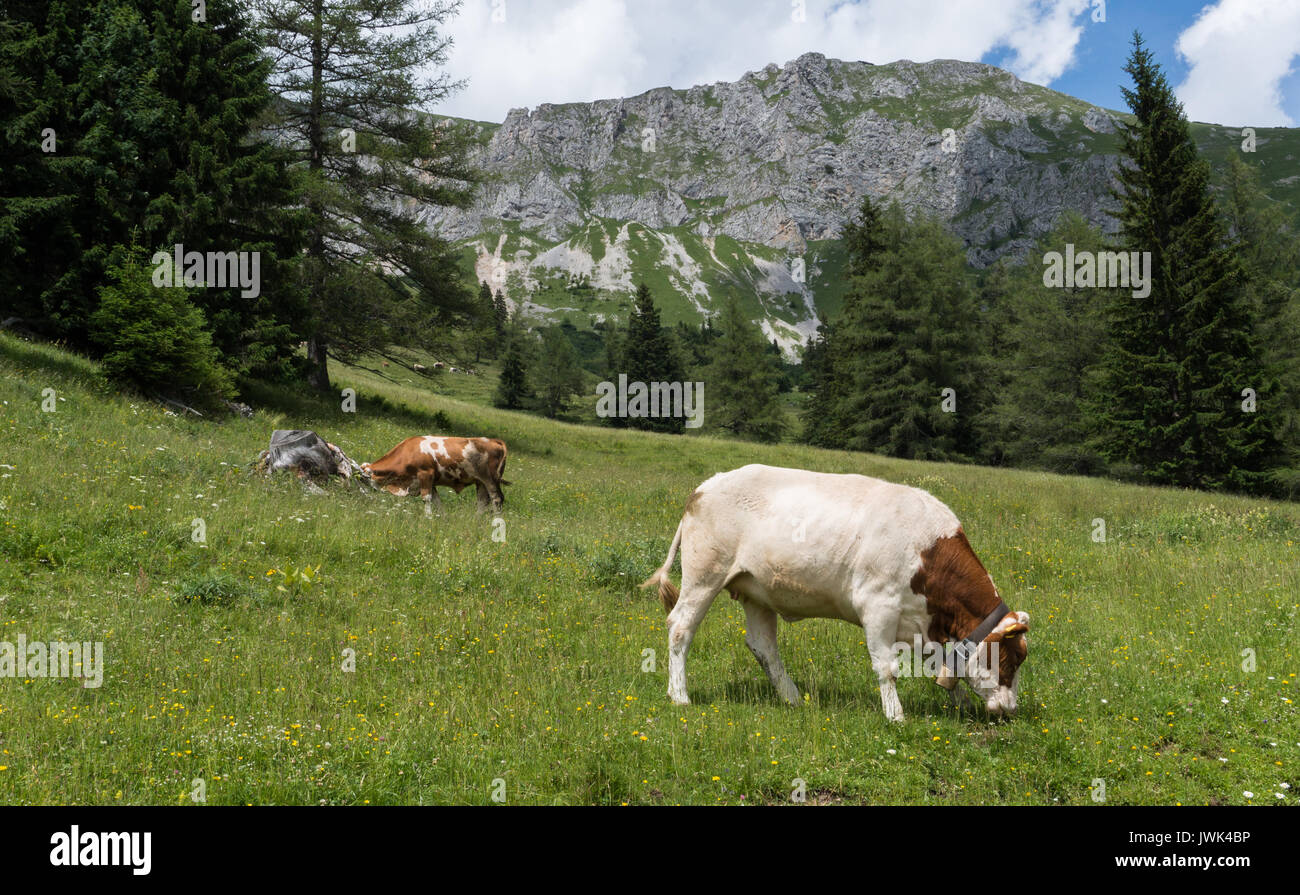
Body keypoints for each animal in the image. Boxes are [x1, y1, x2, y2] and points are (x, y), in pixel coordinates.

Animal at [361, 436, 508, 514]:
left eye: (363, 479)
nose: (364, 495)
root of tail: (494, 440)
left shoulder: (425, 475)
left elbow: (427, 499)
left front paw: (428, 517)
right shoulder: (429, 482)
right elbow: (437, 502)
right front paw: (442, 518)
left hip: (490, 480)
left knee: (497, 499)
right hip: (480, 482)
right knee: (482, 501)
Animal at [641, 464, 1029, 721]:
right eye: (1009, 659)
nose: (1010, 709)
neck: (926, 552)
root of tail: (706, 486)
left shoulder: (923, 620)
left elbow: (943, 663)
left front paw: (959, 702)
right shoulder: (878, 607)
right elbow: (886, 667)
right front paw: (895, 715)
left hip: (755, 590)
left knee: (763, 646)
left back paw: (792, 697)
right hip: (704, 575)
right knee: (680, 628)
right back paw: (680, 695)